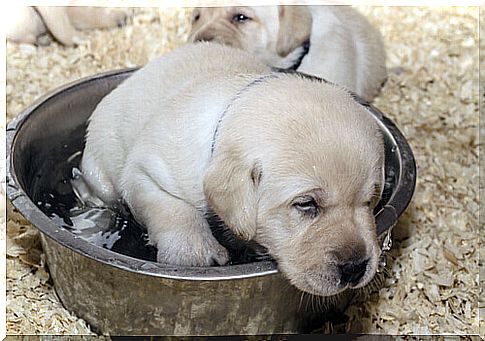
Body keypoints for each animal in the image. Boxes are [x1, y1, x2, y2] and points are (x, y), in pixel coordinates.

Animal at [76, 42, 386, 294]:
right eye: (306, 204)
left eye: (369, 200)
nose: (355, 268)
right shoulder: (144, 171)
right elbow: (170, 207)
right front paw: (193, 249)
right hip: (98, 169)